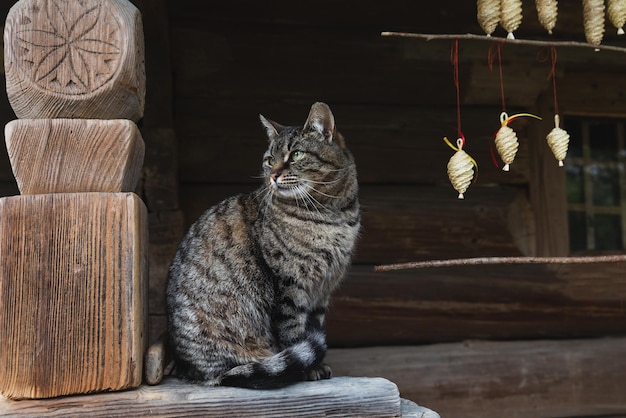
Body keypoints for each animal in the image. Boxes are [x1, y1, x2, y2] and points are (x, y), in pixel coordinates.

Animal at [165, 101, 360, 388]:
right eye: (270, 160)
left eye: (296, 155)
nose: (274, 175)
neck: (332, 214)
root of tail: (188, 369)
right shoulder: (289, 283)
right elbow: (294, 332)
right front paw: (309, 369)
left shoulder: (324, 288)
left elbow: (314, 324)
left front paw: (318, 365)